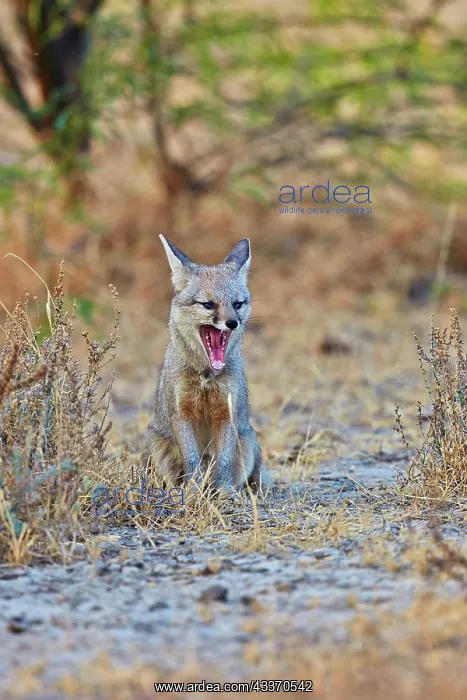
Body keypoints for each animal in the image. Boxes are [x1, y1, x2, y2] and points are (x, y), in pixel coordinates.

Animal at [144, 235, 266, 492]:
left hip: (248, 441)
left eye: (238, 303)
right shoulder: (182, 413)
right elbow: (191, 459)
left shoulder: (226, 412)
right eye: (208, 304)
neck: (206, 377)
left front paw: (225, 492)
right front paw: (193, 491)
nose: (232, 323)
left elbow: (225, 460)